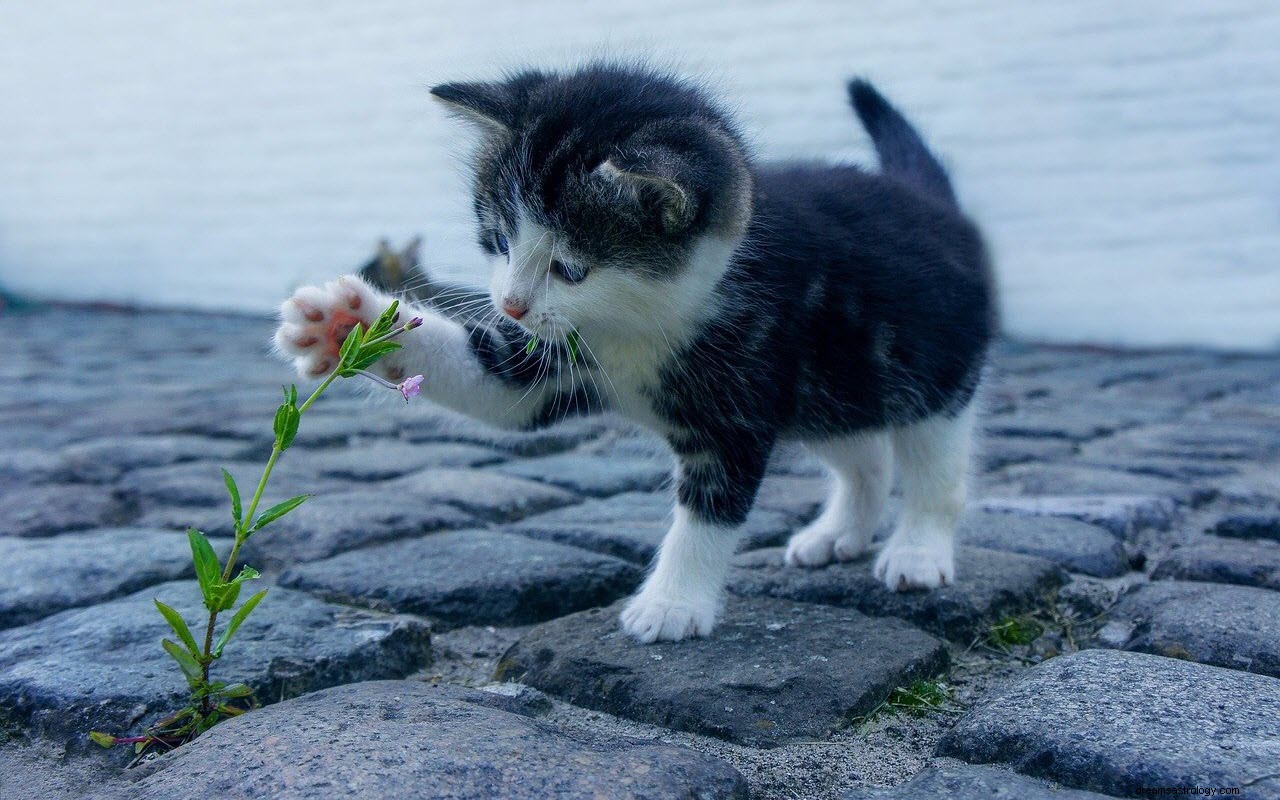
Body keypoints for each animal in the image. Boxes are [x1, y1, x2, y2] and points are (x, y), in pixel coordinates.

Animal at [277, 62, 998, 642]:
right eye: (500, 240)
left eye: (571, 268)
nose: (510, 304)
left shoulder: (739, 400)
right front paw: (346, 324)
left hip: (932, 372)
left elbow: (708, 512)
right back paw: (839, 532)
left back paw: (917, 551)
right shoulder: (553, 358)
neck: (639, 322)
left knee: (935, 466)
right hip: (832, 387)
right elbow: (495, 385)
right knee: (864, 454)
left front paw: (672, 604)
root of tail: (932, 202)